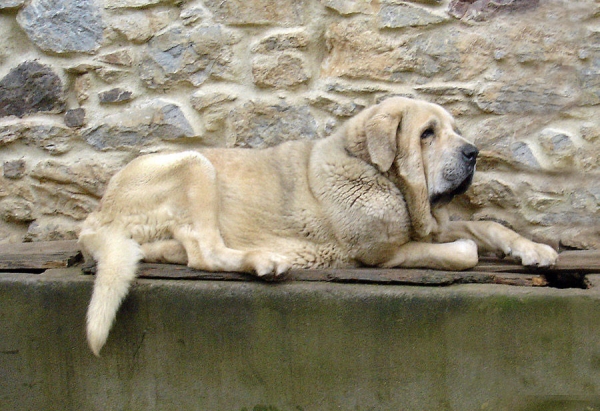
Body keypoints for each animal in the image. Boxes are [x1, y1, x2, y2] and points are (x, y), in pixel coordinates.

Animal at [79, 97, 556, 358]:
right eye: (427, 133)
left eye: (455, 130)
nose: (474, 152)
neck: (378, 173)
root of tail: (94, 216)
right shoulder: (383, 253)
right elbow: (463, 251)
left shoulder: (429, 226)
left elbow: (488, 225)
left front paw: (535, 250)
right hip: (194, 165)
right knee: (204, 252)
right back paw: (264, 260)